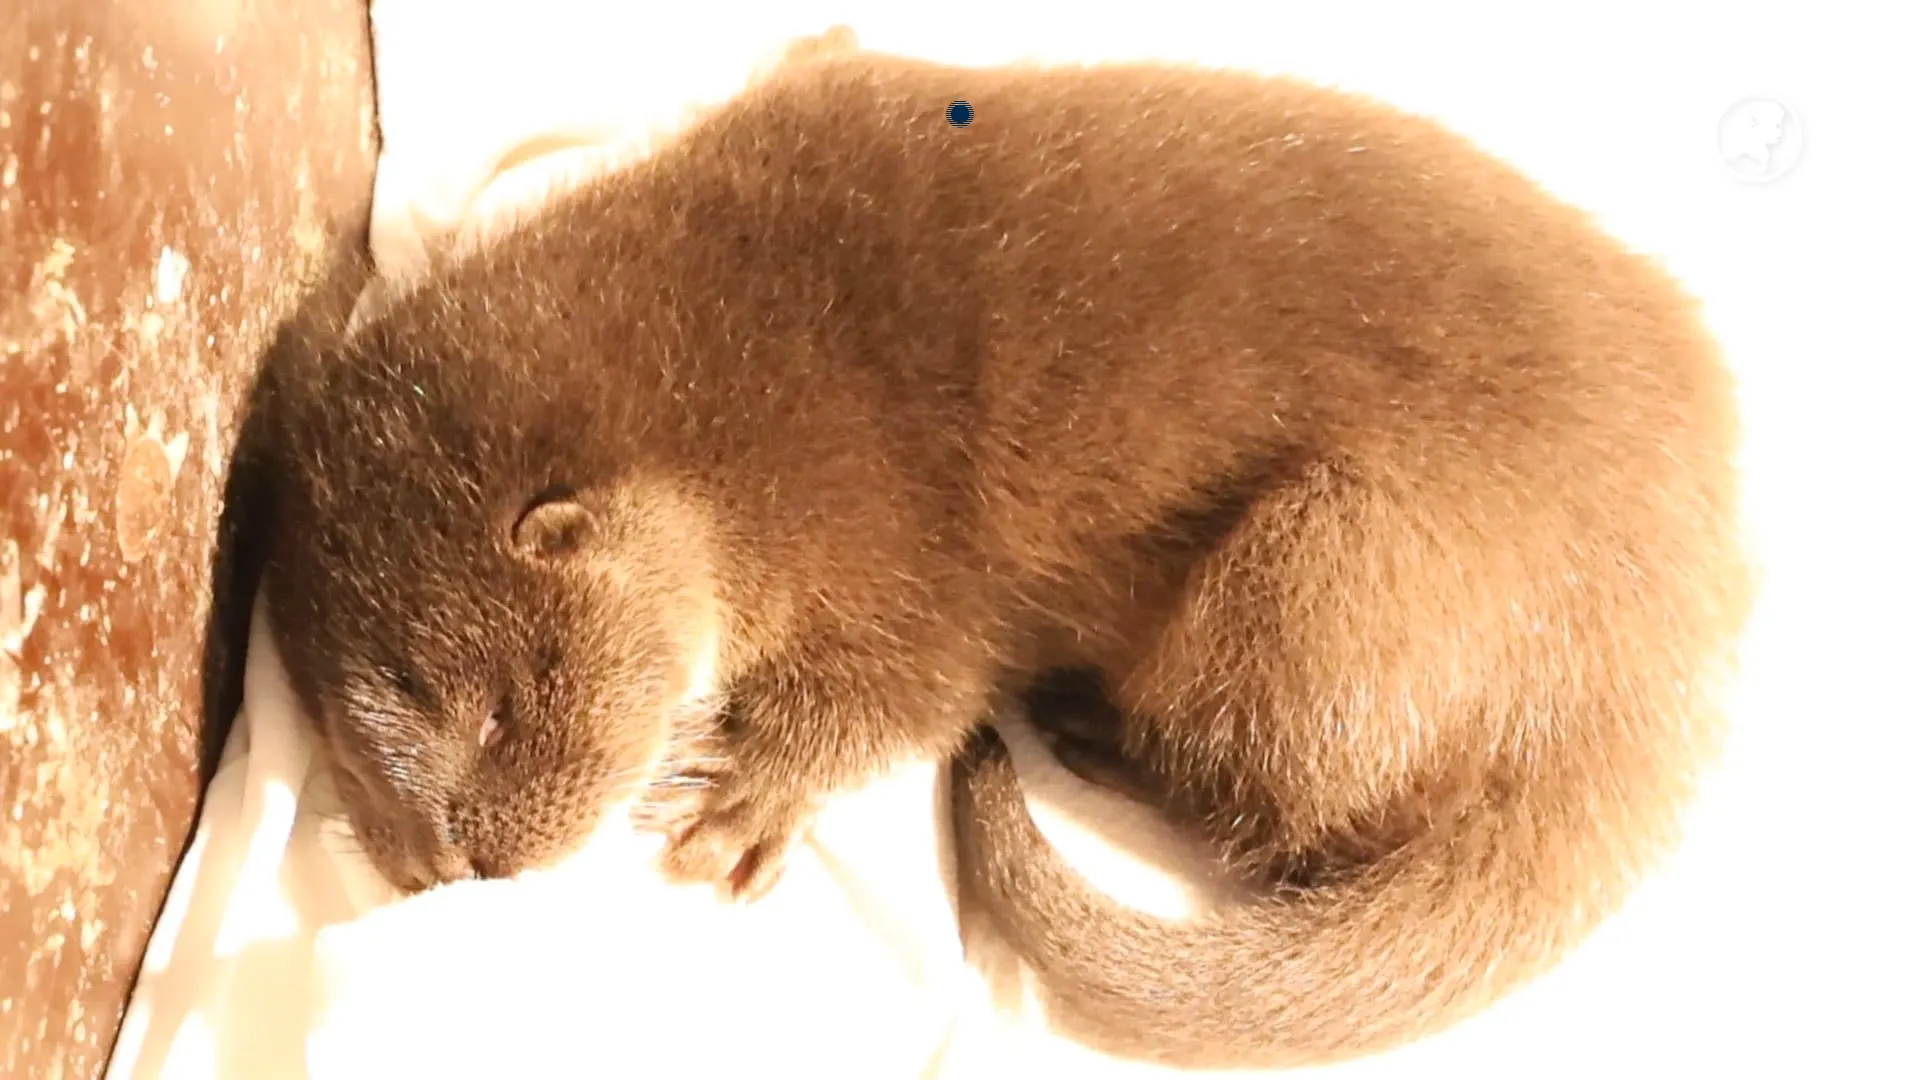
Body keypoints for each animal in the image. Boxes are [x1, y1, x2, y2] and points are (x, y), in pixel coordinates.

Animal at [236, 46, 1750, 1069]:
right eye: (353, 761)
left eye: (488, 707)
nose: (457, 865)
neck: (732, 374)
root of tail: (1654, 655)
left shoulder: (888, 530)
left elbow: (911, 688)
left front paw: (750, 791)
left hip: (1324, 575)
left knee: (1275, 800)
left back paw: (1078, 723)